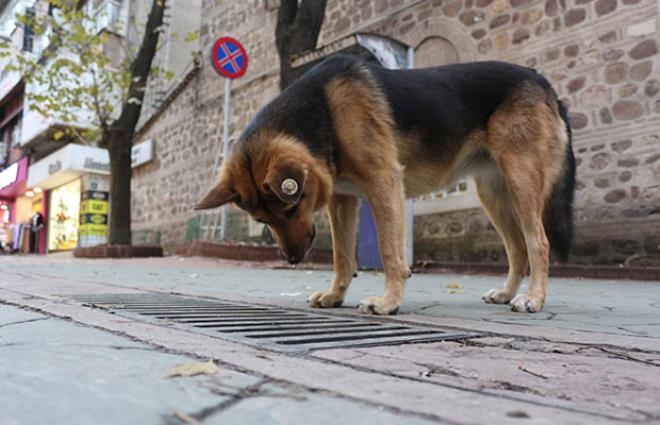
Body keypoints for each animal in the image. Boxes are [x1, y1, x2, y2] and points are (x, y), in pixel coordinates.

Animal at [195, 54, 572, 314]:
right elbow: (342, 257)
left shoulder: (384, 184)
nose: (293, 260)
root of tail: (543, 82)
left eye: (291, 209)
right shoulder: (342, 200)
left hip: (522, 184)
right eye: (262, 220)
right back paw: (507, 293)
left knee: (538, 243)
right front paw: (335, 295)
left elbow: (390, 252)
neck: (324, 110)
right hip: (493, 194)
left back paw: (533, 299)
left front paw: (389, 301)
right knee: (518, 248)